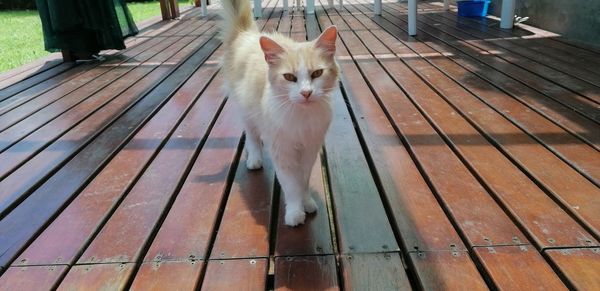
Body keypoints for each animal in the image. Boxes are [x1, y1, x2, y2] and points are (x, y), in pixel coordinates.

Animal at [219, 0, 338, 227]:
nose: (306, 93)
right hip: (247, 113)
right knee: (252, 138)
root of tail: (247, 34)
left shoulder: (309, 149)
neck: (302, 117)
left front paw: (307, 202)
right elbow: (291, 184)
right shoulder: (283, 151)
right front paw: (295, 212)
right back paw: (255, 159)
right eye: (289, 77)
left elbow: (303, 180)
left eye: (317, 73)